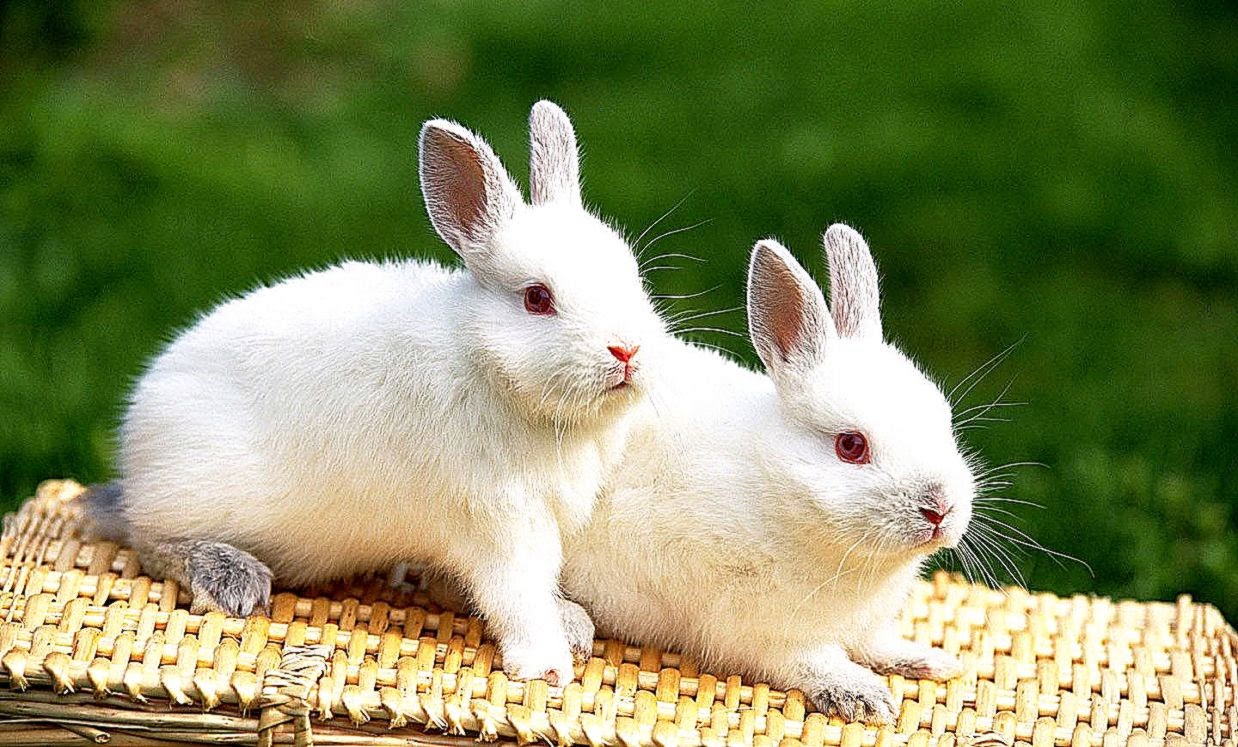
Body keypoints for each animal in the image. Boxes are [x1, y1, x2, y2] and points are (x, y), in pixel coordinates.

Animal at [93, 101, 667, 686]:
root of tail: (136, 439)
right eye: (537, 299)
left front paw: (572, 625)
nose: (628, 350)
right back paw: (233, 579)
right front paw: (546, 666)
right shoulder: (501, 523)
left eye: (631, 275)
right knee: (149, 541)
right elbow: (519, 596)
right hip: (191, 493)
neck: (491, 371)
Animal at [558, 224, 975, 722]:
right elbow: (810, 661)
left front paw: (929, 660)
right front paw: (863, 698)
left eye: (942, 419)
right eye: (851, 446)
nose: (940, 508)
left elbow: (877, 644)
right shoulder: (759, 631)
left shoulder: (866, 626)